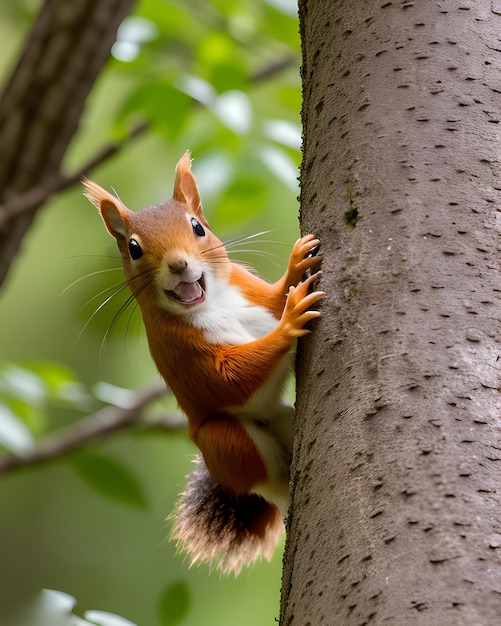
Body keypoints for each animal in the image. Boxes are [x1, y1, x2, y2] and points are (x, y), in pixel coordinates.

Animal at [83, 151, 324, 572]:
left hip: (280, 420)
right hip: (225, 444)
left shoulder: (250, 293)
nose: (179, 264)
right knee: (265, 478)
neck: (213, 302)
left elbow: (275, 298)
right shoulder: (181, 352)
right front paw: (291, 321)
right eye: (133, 248)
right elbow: (230, 380)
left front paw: (296, 266)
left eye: (197, 227)